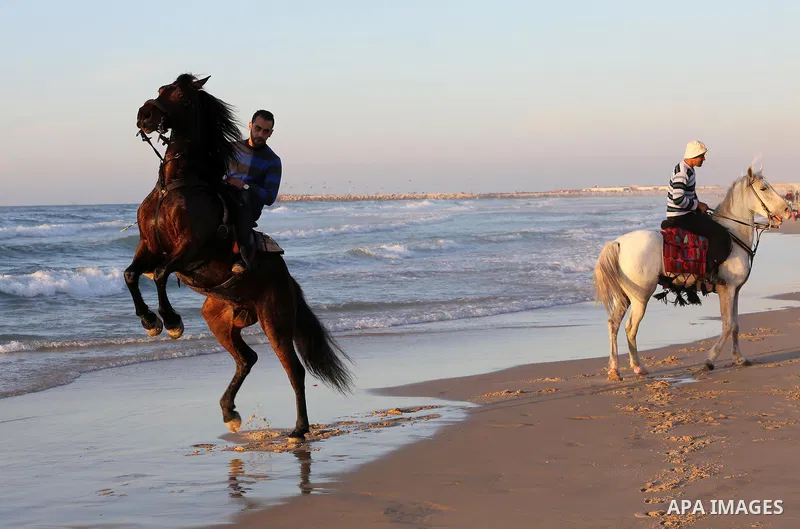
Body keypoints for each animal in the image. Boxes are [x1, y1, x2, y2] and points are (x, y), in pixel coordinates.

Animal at [127, 73, 354, 438]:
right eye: (161, 89)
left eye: (183, 97)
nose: (145, 114)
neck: (176, 184)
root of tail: (289, 282)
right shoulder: (148, 245)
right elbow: (131, 274)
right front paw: (150, 322)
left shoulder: (189, 247)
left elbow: (160, 273)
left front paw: (171, 322)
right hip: (220, 321)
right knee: (247, 359)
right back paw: (229, 412)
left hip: (275, 321)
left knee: (294, 370)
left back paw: (299, 429)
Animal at [593, 167, 791, 381]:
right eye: (763, 188)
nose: (788, 209)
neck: (734, 235)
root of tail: (618, 243)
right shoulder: (727, 289)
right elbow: (728, 325)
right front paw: (709, 360)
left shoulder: (735, 290)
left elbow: (736, 325)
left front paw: (740, 358)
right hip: (640, 297)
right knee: (630, 328)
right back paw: (638, 367)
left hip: (624, 296)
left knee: (613, 324)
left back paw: (614, 370)